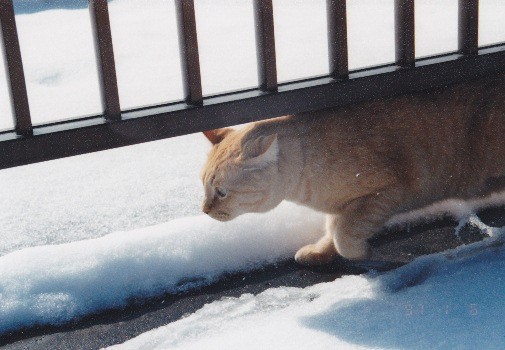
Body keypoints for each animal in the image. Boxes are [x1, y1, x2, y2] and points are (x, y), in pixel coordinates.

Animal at [199, 74, 504, 266]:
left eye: (221, 192)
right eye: (202, 186)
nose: (204, 210)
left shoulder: (385, 193)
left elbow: (344, 236)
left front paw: (364, 254)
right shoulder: (343, 207)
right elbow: (332, 230)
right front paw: (320, 252)